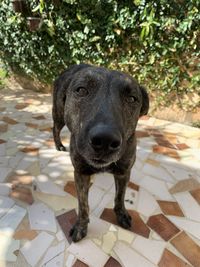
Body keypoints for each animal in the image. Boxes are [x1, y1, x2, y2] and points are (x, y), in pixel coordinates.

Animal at [52, 64, 149, 243]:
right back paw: (58, 145)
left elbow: (120, 196)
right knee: (54, 128)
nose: (105, 140)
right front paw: (81, 226)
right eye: (81, 90)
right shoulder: (81, 173)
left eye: (132, 99)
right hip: (59, 114)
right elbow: (83, 205)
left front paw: (121, 214)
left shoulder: (124, 172)